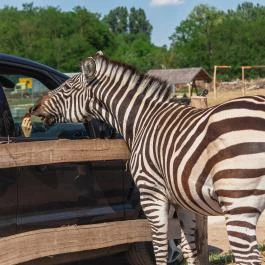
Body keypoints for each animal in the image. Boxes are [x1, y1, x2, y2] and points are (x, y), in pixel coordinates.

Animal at [31, 50, 264, 262]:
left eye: (67, 88)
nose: (34, 107)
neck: (142, 119)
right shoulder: (182, 200)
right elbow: (189, 249)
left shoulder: (150, 192)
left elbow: (160, 248)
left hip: (237, 201)